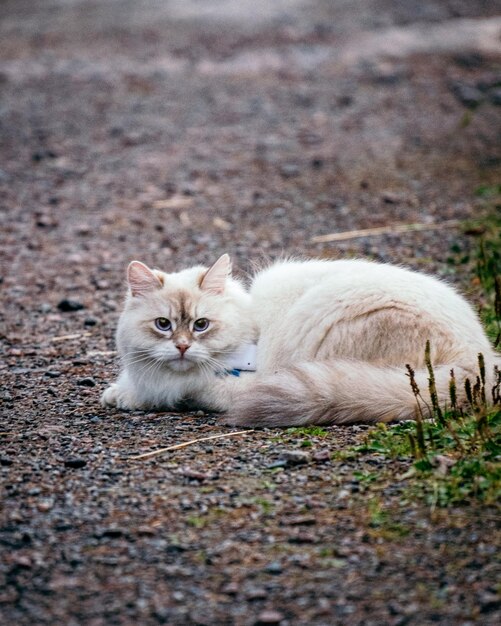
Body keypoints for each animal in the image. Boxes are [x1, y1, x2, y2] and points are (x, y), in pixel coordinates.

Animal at [99, 254, 498, 424]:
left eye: (201, 325)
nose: (182, 347)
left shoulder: (237, 384)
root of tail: (480, 364)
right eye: (163, 324)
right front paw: (121, 394)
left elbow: (188, 392)